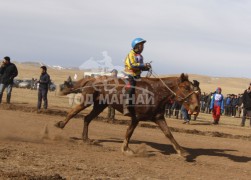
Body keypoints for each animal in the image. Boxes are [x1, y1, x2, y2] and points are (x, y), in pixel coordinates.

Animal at [55, 73, 200, 158]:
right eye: (186, 87)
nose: (196, 107)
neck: (155, 92)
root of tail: (92, 78)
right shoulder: (136, 118)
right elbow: (129, 132)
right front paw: (126, 149)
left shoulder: (158, 118)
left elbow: (168, 133)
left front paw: (181, 151)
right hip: (87, 101)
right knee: (74, 112)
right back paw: (61, 124)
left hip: (100, 105)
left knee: (87, 118)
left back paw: (86, 139)